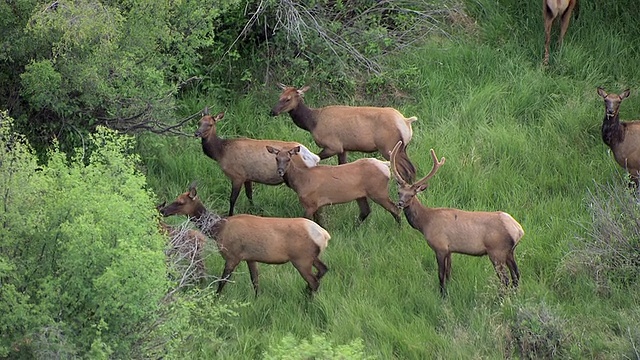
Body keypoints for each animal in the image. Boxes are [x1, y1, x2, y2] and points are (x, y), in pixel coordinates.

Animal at [159, 183, 330, 296]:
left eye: (180, 202)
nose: (163, 210)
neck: (218, 229)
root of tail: (325, 235)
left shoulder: (232, 256)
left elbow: (222, 282)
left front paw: (215, 299)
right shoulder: (250, 258)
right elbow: (255, 281)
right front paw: (257, 299)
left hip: (301, 259)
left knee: (314, 281)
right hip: (311, 257)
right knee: (323, 269)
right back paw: (306, 292)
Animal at [264, 145, 400, 226]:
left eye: (288, 159)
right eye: (276, 158)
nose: (280, 171)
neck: (300, 182)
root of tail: (384, 165)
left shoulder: (310, 203)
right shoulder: (318, 204)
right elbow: (320, 223)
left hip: (378, 191)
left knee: (394, 208)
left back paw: (399, 228)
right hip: (361, 195)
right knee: (366, 211)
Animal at [268, 83, 416, 164]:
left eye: (288, 99)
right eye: (279, 97)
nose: (272, 111)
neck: (312, 123)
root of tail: (406, 121)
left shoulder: (333, 146)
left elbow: (316, 158)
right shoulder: (344, 148)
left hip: (389, 147)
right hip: (403, 147)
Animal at [388, 141, 524, 296]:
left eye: (411, 195)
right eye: (399, 192)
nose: (400, 203)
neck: (425, 223)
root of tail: (518, 230)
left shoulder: (440, 246)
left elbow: (441, 274)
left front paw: (442, 295)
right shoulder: (450, 250)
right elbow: (448, 273)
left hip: (497, 251)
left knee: (505, 279)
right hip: (510, 252)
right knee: (516, 275)